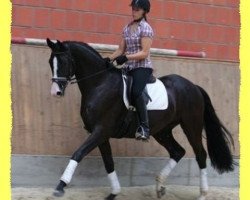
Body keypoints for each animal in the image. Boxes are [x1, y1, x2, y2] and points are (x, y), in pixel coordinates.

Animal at [45, 38, 234, 199]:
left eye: (63, 62)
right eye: (50, 62)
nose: (56, 92)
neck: (100, 84)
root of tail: (193, 86)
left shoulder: (101, 130)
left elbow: (78, 153)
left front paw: (60, 187)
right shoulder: (100, 134)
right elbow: (108, 163)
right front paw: (114, 193)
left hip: (191, 125)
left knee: (200, 154)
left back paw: (202, 194)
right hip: (162, 131)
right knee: (177, 151)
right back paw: (159, 187)